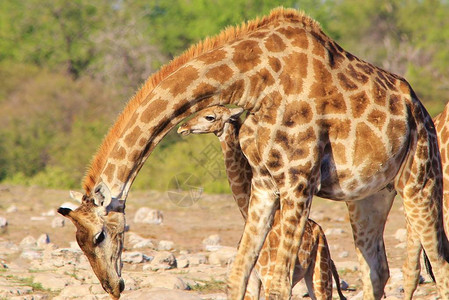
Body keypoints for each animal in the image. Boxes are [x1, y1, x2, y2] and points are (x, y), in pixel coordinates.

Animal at [177, 104, 344, 298]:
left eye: (209, 117)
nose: (182, 127)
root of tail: (320, 234)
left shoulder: (268, 275)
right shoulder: (253, 278)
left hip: (320, 275)